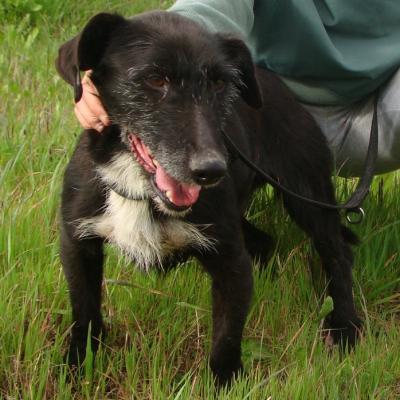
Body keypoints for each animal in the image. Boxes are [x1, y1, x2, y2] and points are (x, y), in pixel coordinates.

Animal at [56, 11, 361, 386]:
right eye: (155, 78)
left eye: (219, 84)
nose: (211, 170)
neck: (138, 185)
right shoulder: (77, 243)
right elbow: (84, 314)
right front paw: (76, 371)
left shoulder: (230, 259)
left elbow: (227, 335)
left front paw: (226, 382)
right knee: (266, 241)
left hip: (307, 192)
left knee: (337, 253)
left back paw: (345, 325)